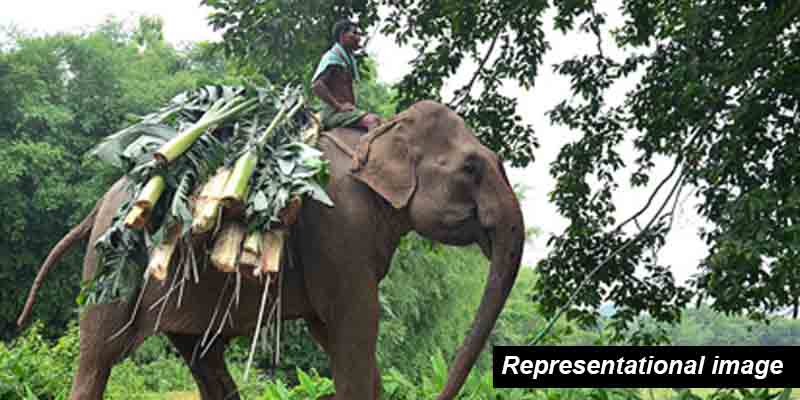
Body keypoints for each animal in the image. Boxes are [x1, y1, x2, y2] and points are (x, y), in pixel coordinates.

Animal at [18, 100, 525, 400]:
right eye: (472, 167)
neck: (378, 133)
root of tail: (103, 203)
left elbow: (337, 336)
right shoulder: (340, 228)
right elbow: (355, 330)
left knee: (204, 358)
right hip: (112, 265)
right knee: (99, 356)